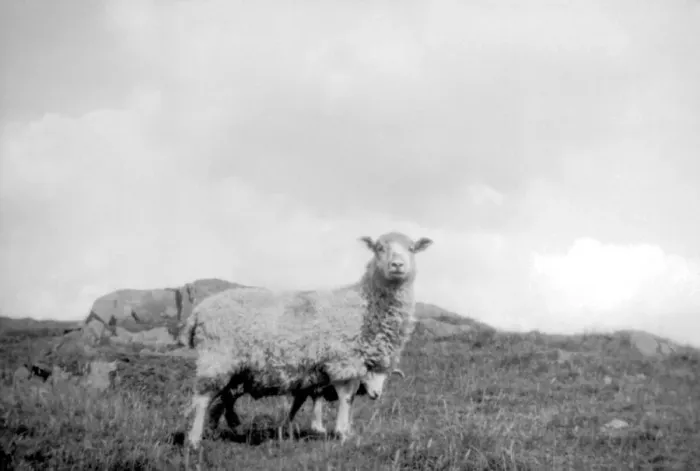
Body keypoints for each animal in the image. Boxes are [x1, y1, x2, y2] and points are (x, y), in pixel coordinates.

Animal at [181, 231, 433, 456]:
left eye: (411, 248)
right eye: (379, 248)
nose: (397, 265)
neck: (365, 304)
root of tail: (198, 312)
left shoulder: (349, 367)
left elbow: (339, 400)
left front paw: (344, 431)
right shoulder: (343, 362)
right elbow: (346, 398)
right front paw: (342, 433)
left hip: (233, 368)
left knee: (222, 397)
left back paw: (218, 430)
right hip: (216, 357)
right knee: (203, 398)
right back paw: (194, 441)